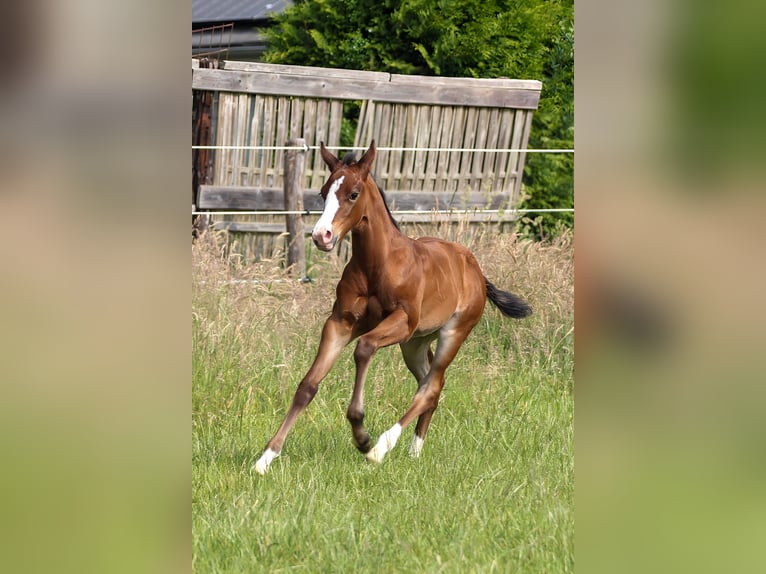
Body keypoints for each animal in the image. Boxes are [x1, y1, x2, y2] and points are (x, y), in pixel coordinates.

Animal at [253, 141, 531, 474]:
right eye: (322, 192)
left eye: (353, 194)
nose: (322, 236)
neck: (378, 265)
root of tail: (476, 270)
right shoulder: (340, 322)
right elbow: (308, 385)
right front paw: (266, 458)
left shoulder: (402, 321)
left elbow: (364, 348)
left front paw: (362, 436)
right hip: (415, 343)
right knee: (431, 383)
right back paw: (414, 450)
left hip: (452, 332)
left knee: (430, 386)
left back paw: (381, 448)